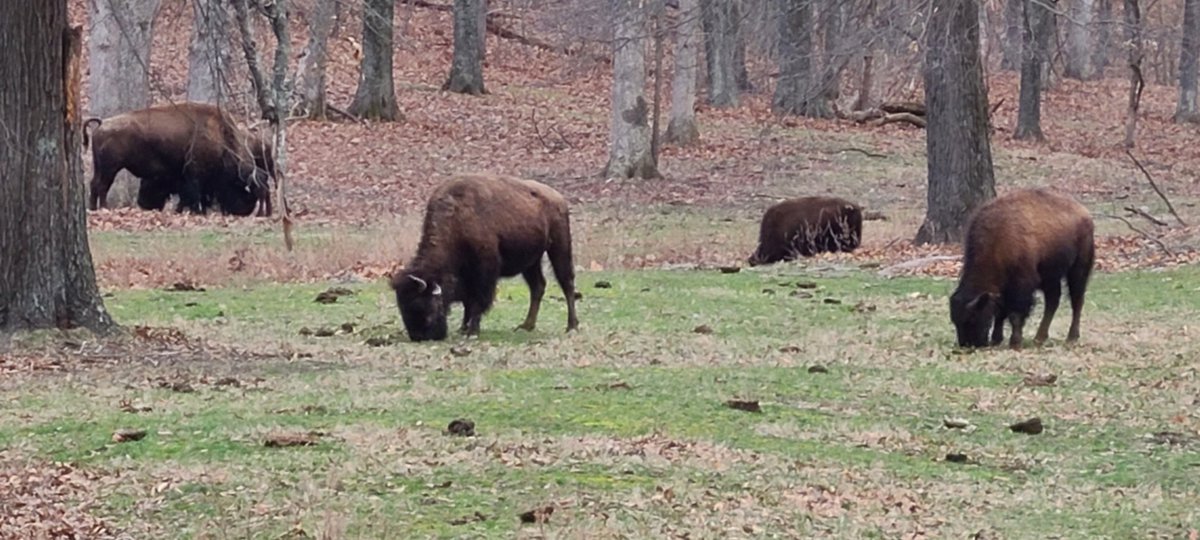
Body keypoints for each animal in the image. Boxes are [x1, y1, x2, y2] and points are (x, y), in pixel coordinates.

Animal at [83, 102, 273, 216]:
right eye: (242, 188)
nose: (245, 210)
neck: (223, 138)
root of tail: (102, 124)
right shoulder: (194, 174)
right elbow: (193, 194)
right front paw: (196, 212)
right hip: (111, 168)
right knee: (102, 186)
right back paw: (104, 208)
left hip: (101, 167)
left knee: (94, 184)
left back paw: (93, 208)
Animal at [390, 173, 580, 341]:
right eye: (402, 306)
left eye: (423, 305)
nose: (419, 337)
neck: (456, 220)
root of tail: (559, 198)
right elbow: (467, 301)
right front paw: (464, 327)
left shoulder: (484, 271)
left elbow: (478, 301)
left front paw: (472, 331)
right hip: (531, 262)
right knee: (538, 287)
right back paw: (526, 326)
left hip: (559, 248)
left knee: (567, 284)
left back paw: (572, 326)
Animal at [950, 188, 1095, 350]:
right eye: (955, 321)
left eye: (972, 318)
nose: (967, 345)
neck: (996, 241)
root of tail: (1084, 213)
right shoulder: (1004, 290)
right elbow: (1001, 313)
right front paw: (996, 339)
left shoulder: (1022, 285)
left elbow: (1015, 314)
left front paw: (1015, 342)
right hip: (1050, 277)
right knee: (1053, 302)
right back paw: (1039, 338)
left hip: (1078, 271)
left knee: (1076, 301)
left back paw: (1071, 337)